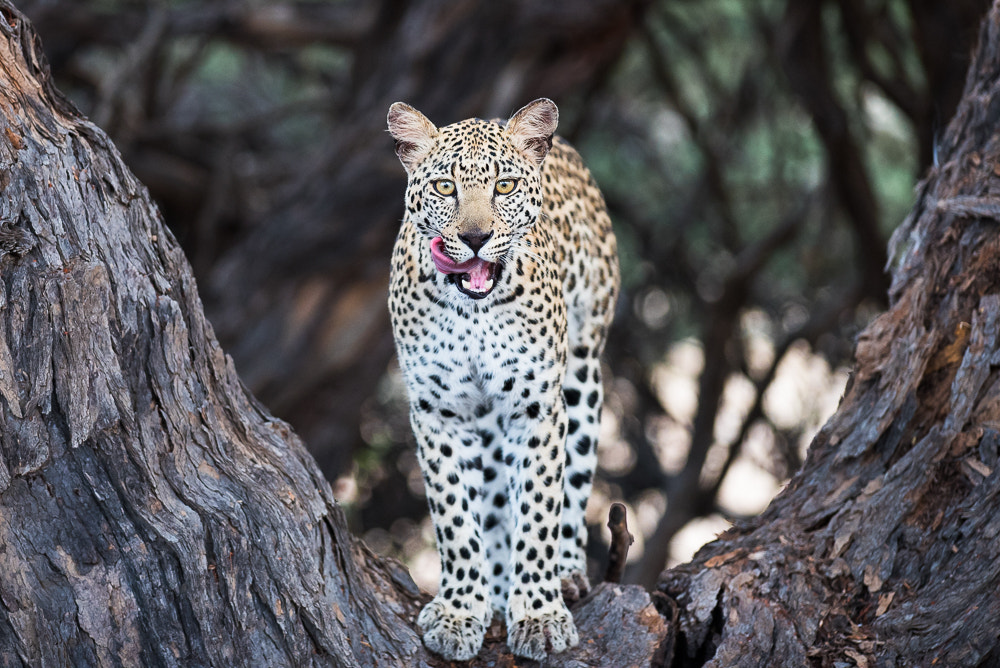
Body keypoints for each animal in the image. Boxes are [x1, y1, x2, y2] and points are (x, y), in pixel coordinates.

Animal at [386, 98, 619, 662]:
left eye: (506, 186)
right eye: (445, 186)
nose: (475, 239)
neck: (474, 311)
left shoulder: (536, 410)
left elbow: (538, 510)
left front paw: (538, 612)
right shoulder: (439, 411)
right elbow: (454, 515)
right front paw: (460, 610)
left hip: (583, 371)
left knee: (573, 482)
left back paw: (567, 573)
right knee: (490, 498)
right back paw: (493, 588)